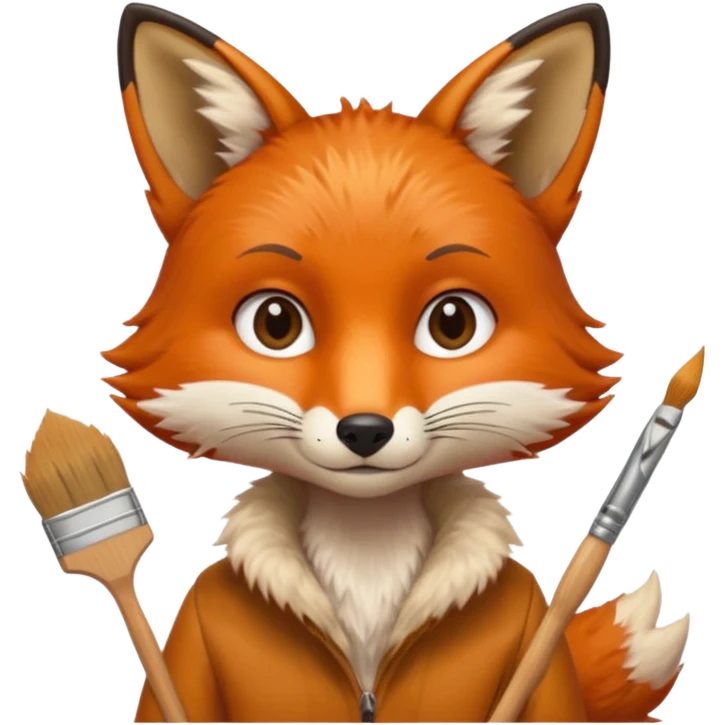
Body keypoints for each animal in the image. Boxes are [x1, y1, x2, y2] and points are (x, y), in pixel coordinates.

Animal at [107, 2, 691, 723]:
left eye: (452, 323)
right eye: (275, 323)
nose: (364, 430)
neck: (366, 554)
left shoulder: (536, 629)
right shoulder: (193, 629)